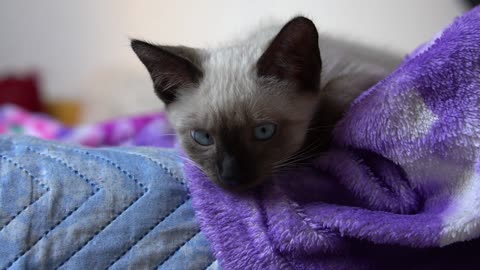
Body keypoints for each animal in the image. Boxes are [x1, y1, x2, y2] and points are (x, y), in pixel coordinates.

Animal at [131, 16, 402, 190]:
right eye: (203, 138)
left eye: (264, 132)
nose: (232, 177)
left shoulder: (365, 75)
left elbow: (331, 100)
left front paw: (312, 151)